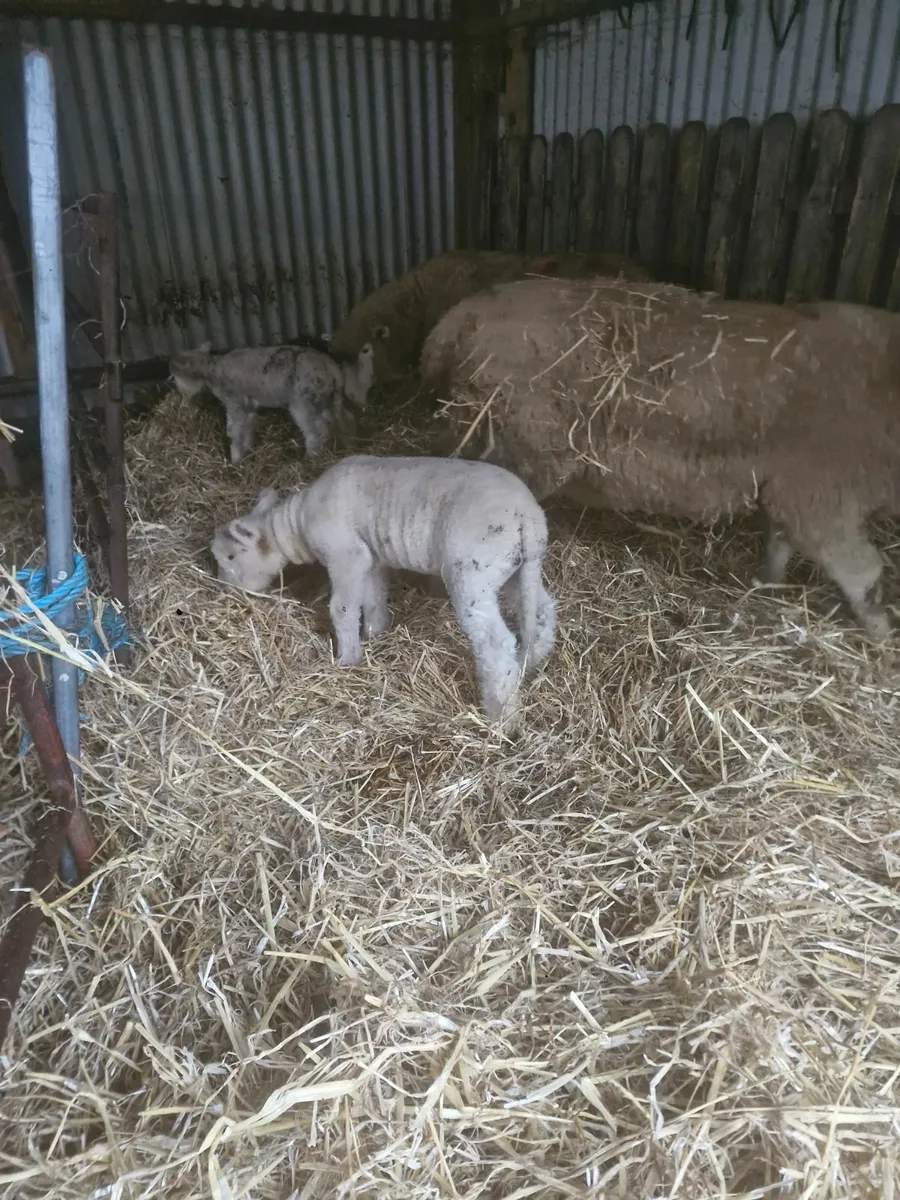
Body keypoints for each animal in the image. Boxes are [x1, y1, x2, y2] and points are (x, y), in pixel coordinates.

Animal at [169, 340, 377, 464]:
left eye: (176, 379)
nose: (182, 402)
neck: (211, 370)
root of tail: (334, 370)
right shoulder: (248, 404)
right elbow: (248, 426)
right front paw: (247, 450)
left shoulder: (235, 401)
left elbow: (234, 430)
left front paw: (235, 459)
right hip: (327, 398)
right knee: (345, 418)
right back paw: (351, 445)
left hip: (303, 401)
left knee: (316, 431)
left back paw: (309, 458)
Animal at [210, 455, 557, 725]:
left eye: (230, 558)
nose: (224, 592)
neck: (296, 526)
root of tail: (528, 517)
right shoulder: (371, 558)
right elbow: (373, 597)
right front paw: (376, 633)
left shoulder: (346, 554)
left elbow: (342, 608)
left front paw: (347, 658)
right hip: (514, 570)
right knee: (543, 610)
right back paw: (532, 661)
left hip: (473, 572)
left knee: (495, 643)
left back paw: (502, 716)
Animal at [420, 276, 900, 641]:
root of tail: (454, 322)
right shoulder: (822, 497)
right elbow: (863, 572)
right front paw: (881, 635)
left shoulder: (789, 490)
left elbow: (779, 543)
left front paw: (768, 585)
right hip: (516, 442)